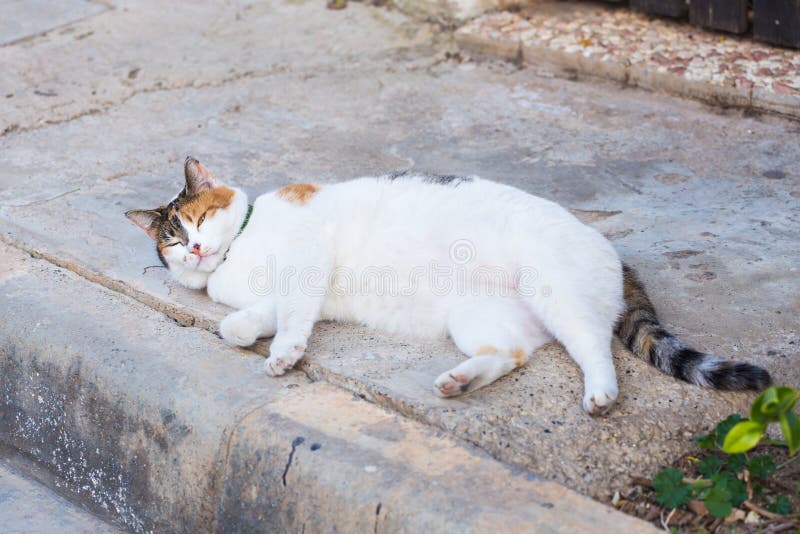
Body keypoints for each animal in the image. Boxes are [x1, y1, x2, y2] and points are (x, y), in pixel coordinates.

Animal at [126, 157, 776, 416]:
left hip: (557, 293)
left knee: (595, 348)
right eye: (173, 243)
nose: (198, 250)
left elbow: (287, 313)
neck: (240, 251)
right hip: (480, 319)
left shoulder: (308, 260)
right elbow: (243, 322)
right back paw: (459, 381)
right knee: (510, 353)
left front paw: (285, 352)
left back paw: (600, 395)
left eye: (197, 220)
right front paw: (254, 333)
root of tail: (613, 252)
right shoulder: (293, 295)